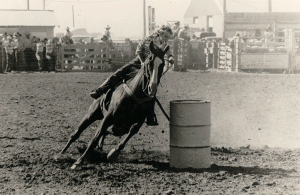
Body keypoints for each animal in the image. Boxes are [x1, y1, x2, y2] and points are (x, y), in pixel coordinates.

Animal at [55, 40, 169, 169]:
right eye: (150, 61)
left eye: (162, 64)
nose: (152, 88)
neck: (136, 95)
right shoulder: (108, 118)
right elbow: (95, 137)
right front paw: (79, 161)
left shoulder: (138, 122)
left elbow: (129, 132)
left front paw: (113, 153)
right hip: (92, 114)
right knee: (76, 134)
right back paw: (61, 154)